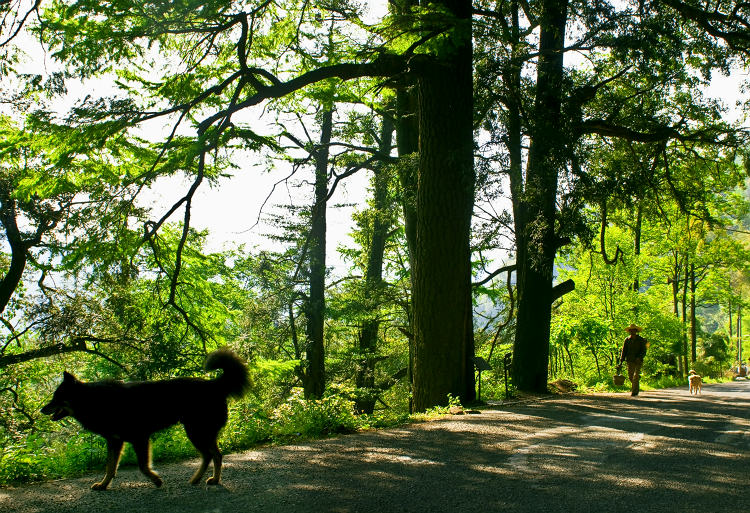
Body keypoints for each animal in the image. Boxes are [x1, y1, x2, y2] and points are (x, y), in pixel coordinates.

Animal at [41, 348, 250, 488]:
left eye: (56, 397)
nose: (42, 410)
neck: (93, 401)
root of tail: (214, 384)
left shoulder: (139, 438)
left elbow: (142, 466)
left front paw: (156, 479)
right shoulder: (115, 441)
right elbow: (110, 467)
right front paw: (103, 485)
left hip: (196, 431)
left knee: (213, 455)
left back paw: (211, 479)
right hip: (199, 432)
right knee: (211, 455)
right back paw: (200, 478)